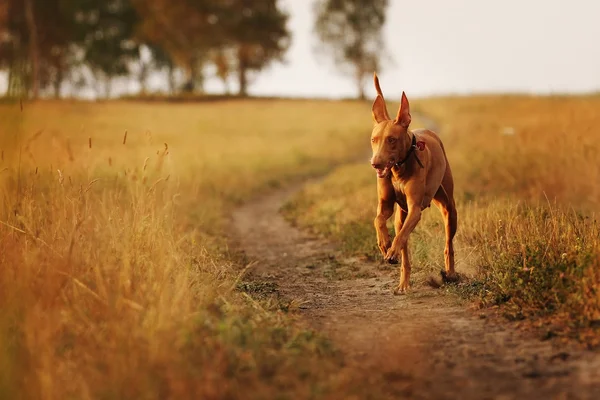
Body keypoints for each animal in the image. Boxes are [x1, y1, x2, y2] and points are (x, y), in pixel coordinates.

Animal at [368, 74, 458, 294]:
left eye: (391, 139)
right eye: (374, 139)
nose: (375, 164)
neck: (399, 169)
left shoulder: (415, 208)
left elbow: (400, 237)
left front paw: (390, 249)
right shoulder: (386, 206)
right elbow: (378, 220)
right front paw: (384, 244)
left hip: (449, 209)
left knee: (448, 244)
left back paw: (450, 274)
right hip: (401, 216)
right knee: (404, 247)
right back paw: (404, 283)